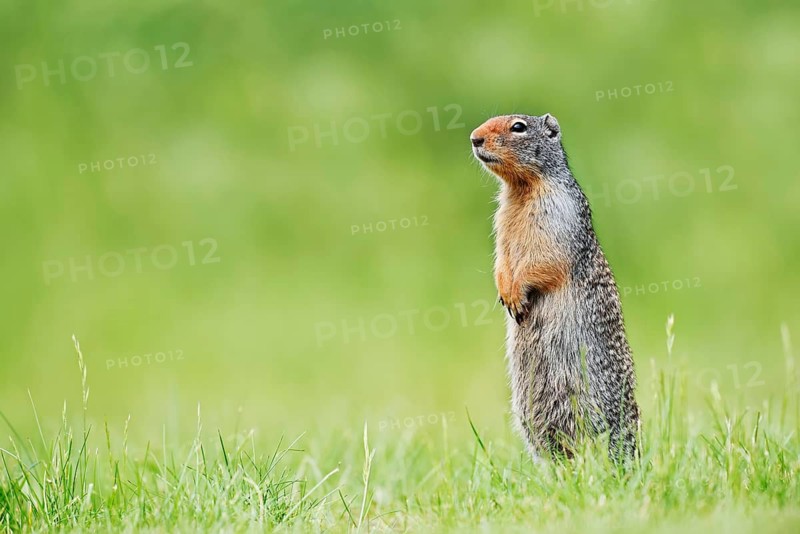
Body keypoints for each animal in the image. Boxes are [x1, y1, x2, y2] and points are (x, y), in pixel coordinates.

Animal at [470, 113, 639, 460]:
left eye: (518, 127)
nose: (474, 138)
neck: (521, 189)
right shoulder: (502, 223)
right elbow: (502, 259)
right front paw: (504, 290)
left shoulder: (557, 215)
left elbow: (545, 259)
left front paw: (515, 294)